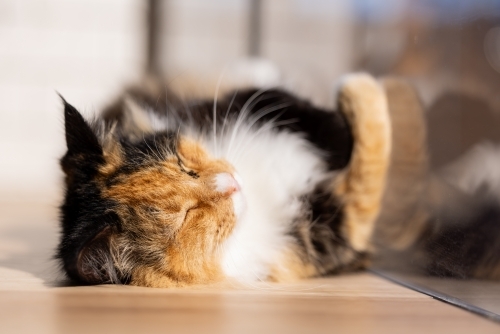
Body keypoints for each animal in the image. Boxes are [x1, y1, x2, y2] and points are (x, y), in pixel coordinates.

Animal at [58, 73, 392, 288]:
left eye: (184, 166)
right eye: (187, 216)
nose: (231, 182)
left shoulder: (252, 100)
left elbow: (310, 113)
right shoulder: (340, 226)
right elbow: (372, 151)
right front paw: (359, 84)